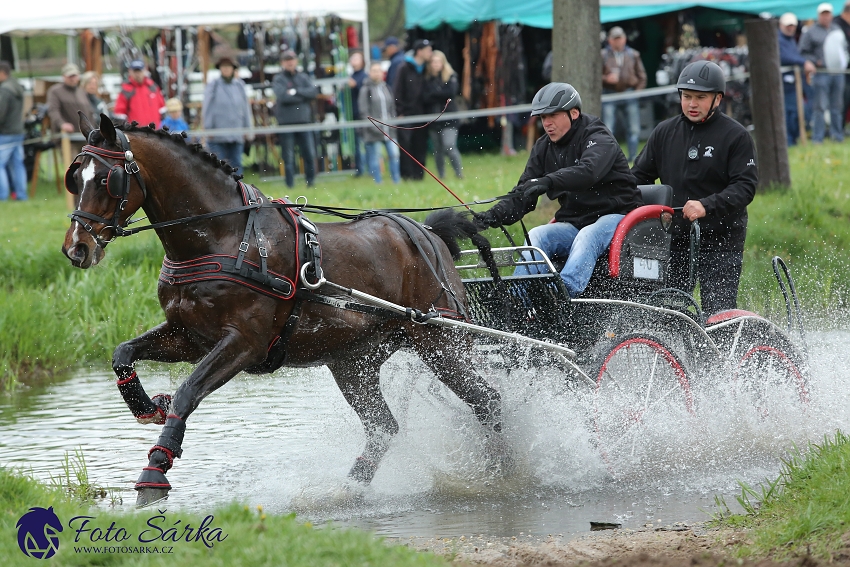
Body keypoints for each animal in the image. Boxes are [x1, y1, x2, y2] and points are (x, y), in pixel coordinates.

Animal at [63, 115, 506, 506]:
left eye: (106, 179)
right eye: (75, 176)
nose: (76, 248)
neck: (223, 237)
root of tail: (428, 233)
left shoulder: (244, 343)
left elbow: (187, 392)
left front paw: (155, 469)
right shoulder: (189, 336)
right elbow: (123, 353)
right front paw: (146, 405)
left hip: (438, 342)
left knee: (487, 401)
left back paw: (502, 472)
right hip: (353, 362)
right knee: (384, 427)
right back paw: (348, 489)